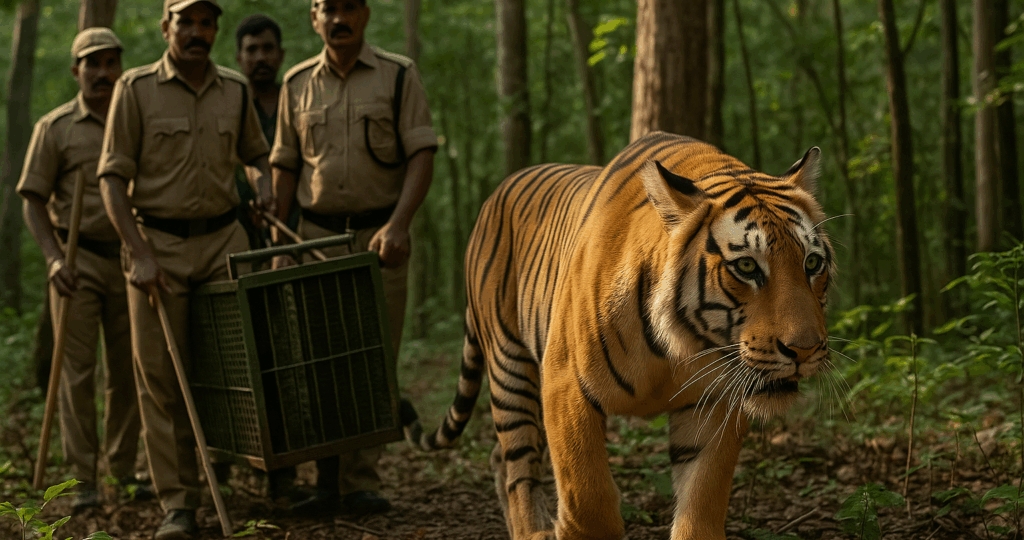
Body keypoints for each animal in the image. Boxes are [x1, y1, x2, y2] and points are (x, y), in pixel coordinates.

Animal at [400, 131, 834, 540]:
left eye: (812, 263)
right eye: (746, 266)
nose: (804, 350)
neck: (680, 347)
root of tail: (495, 194)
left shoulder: (714, 402)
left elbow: (702, 500)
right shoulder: (566, 385)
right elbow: (589, 502)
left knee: (498, 456)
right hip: (509, 365)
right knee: (517, 462)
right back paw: (532, 530)